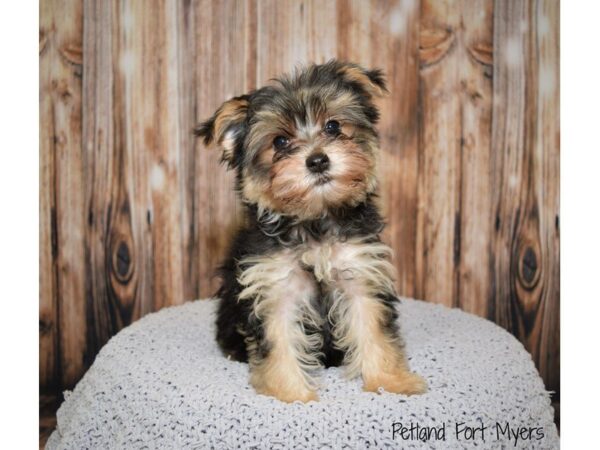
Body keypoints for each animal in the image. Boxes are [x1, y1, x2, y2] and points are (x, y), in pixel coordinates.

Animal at [197, 60, 426, 404]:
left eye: (332, 126)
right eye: (279, 142)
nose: (317, 160)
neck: (315, 219)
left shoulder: (359, 270)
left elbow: (373, 328)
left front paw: (391, 382)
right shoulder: (273, 286)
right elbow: (279, 341)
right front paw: (292, 394)